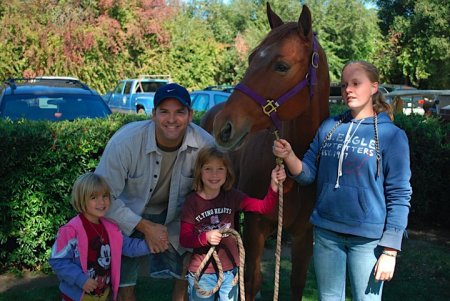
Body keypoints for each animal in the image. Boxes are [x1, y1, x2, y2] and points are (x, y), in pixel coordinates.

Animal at [202, 2, 328, 300]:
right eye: (250, 59)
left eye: (281, 66)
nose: (224, 126)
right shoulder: (255, 228)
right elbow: (252, 279)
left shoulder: (304, 235)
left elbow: (296, 281)